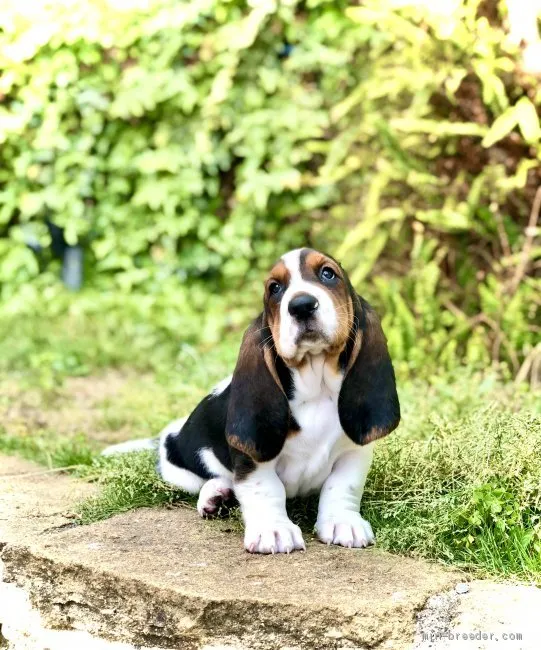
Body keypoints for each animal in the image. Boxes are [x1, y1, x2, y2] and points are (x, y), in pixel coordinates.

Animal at [106, 248, 400, 552]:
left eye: (328, 274)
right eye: (275, 288)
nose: (301, 305)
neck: (316, 391)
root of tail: (167, 435)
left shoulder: (353, 452)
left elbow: (342, 486)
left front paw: (343, 522)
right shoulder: (252, 461)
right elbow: (266, 489)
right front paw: (274, 530)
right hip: (180, 472)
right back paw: (216, 495)